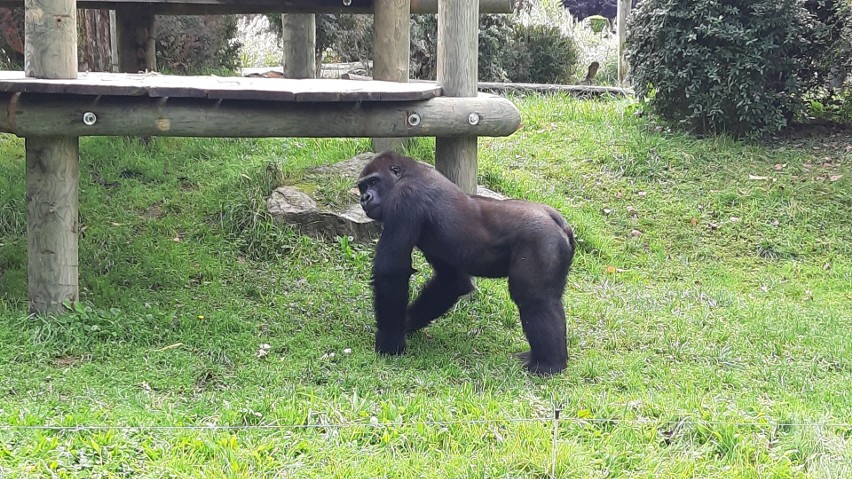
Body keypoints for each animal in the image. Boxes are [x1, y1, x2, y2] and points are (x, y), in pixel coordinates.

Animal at [356, 151, 576, 376]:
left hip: (542, 239)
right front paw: (406, 322)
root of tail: (558, 221)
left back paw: (548, 364)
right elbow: (452, 282)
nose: (364, 198)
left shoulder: (404, 198)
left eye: (373, 182)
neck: (410, 172)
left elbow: (391, 272)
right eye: (362, 187)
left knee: (535, 299)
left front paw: (390, 342)